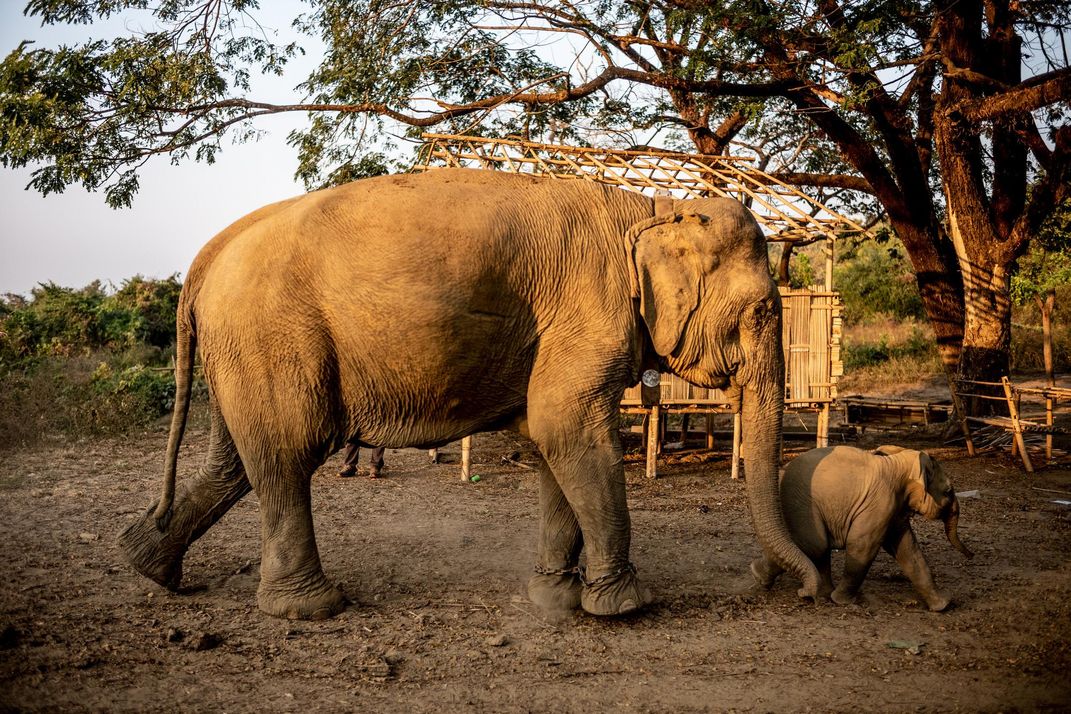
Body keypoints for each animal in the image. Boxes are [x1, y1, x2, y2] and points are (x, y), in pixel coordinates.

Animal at [119, 168, 818, 620]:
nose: (780, 584)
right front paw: (623, 606)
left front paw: (554, 599)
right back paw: (310, 609)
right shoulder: (587, 314)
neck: (651, 207)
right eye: (762, 310)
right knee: (289, 455)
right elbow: (568, 429)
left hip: (239, 350)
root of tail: (207, 256)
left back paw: (148, 565)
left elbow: (549, 441)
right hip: (272, 337)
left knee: (237, 460)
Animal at [753, 443, 972, 612]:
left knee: (813, 546)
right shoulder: (881, 501)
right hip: (801, 501)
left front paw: (943, 605)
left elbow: (908, 549)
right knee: (816, 544)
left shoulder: (894, 508)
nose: (971, 555)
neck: (898, 462)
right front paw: (843, 601)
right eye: (949, 491)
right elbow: (862, 544)